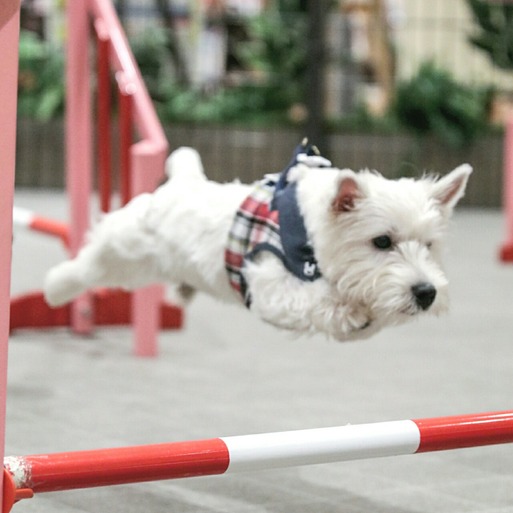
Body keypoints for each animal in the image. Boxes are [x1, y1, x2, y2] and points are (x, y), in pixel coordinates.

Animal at [45, 140, 472, 340]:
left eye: (430, 245)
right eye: (382, 241)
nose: (426, 292)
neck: (309, 237)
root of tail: (184, 180)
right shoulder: (269, 286)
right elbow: (313, 300)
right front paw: (346, 307)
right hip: (128, 249)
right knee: (92, 261)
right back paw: (55, 289)